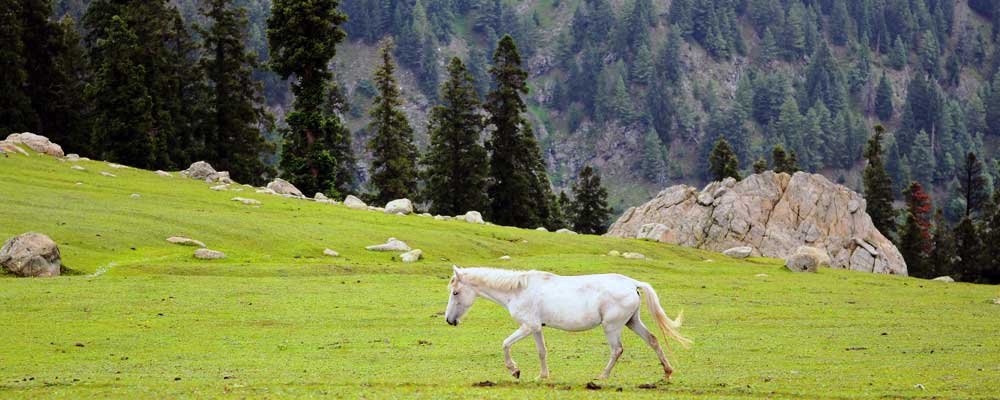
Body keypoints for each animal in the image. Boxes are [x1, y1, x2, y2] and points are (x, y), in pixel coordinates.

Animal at [444, 266, 688, 382]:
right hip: (632, 322)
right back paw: (667, 372)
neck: (518, 290)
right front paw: (542, 376)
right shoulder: (536, 328)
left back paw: (602, 376)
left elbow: (505, 344)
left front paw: (514, 370)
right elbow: (542, 351)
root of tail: (632, 284)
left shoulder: (528, 326)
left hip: (612, 327)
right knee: (653, 340)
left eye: (455, 292)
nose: (449, 320)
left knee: (617, 350)